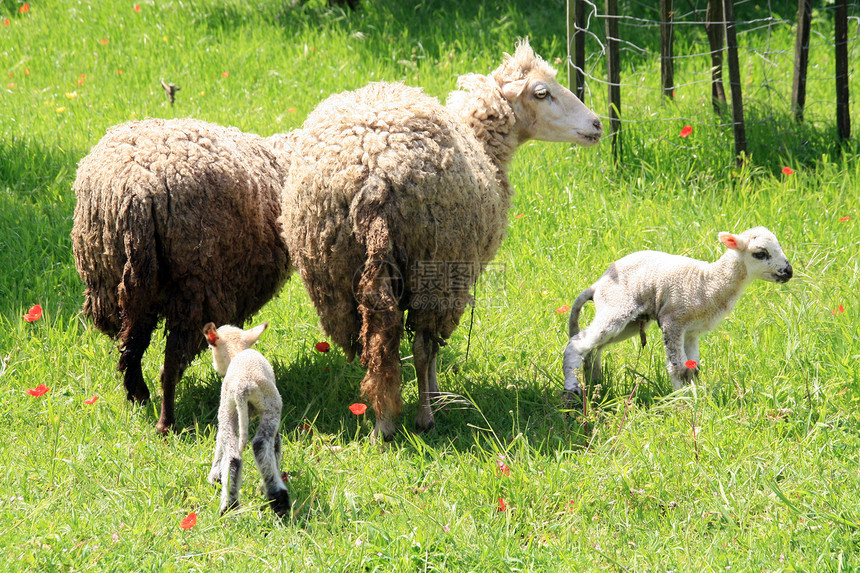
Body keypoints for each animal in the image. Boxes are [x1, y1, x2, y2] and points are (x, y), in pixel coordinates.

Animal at [203, 320, 290, 516]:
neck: (237, 352)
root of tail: (243, 386)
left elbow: (220, 440)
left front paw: (215, 476)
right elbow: (276, 447)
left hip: (228, 410)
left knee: (233, 455)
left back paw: (229, 507)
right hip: (271, 407)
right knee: (260, 445)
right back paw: (278, 499)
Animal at [282, 38, 604, 438]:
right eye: (541, 93)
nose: (597, 124)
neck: (483, 144)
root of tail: (376, 173)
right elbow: (432, 350)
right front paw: (435, 396)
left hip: (337, 276)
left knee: (375, 345)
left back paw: (382, 420)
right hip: (436, 266)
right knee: (421, 345)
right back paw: (423, 417)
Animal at [564, 226, 792, 396]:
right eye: (760, 254)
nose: (789, 272)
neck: (710, 281)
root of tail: (596, 285)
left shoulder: (692, 331)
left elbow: (693, 369)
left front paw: (698, 397)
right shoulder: (673, 320)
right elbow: (678, 368)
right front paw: (682, 402)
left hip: (629, 321)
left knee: (593, 349)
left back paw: (596, 385)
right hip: (617, 307)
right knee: (577, 343)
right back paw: (572, 387)